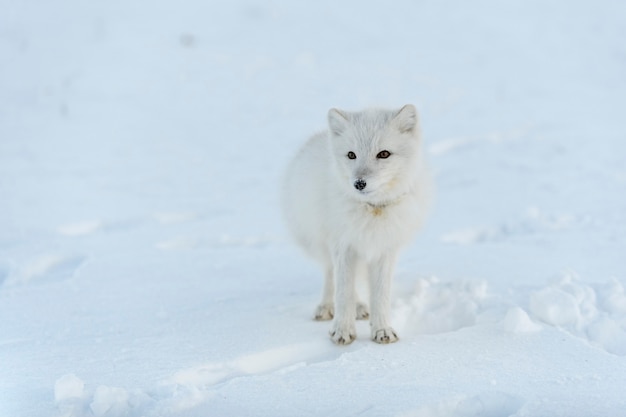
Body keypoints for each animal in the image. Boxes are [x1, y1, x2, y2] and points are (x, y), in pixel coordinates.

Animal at [282, 105, 428, 344]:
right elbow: (343, 292)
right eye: (351, 155)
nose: (359, 183)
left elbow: (380, 295)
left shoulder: (384, 249)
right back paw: (328, 306)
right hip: (322, 244)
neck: (371, 209)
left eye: (383, 154)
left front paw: (382, 330)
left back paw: (359, 307)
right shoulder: (343, 246)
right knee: (331, 274)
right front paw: (342, 330)